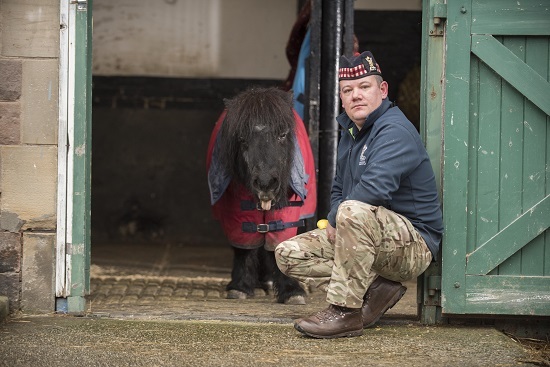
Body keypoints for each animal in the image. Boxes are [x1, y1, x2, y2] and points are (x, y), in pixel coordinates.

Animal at [207, 87, 316, 304]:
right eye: (241, 138)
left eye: (282, 135)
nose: (266, 183)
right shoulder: (237, 209)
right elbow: (245, 245)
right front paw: (240, 286)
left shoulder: (286, 211)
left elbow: (279, 243)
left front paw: (292, 291)